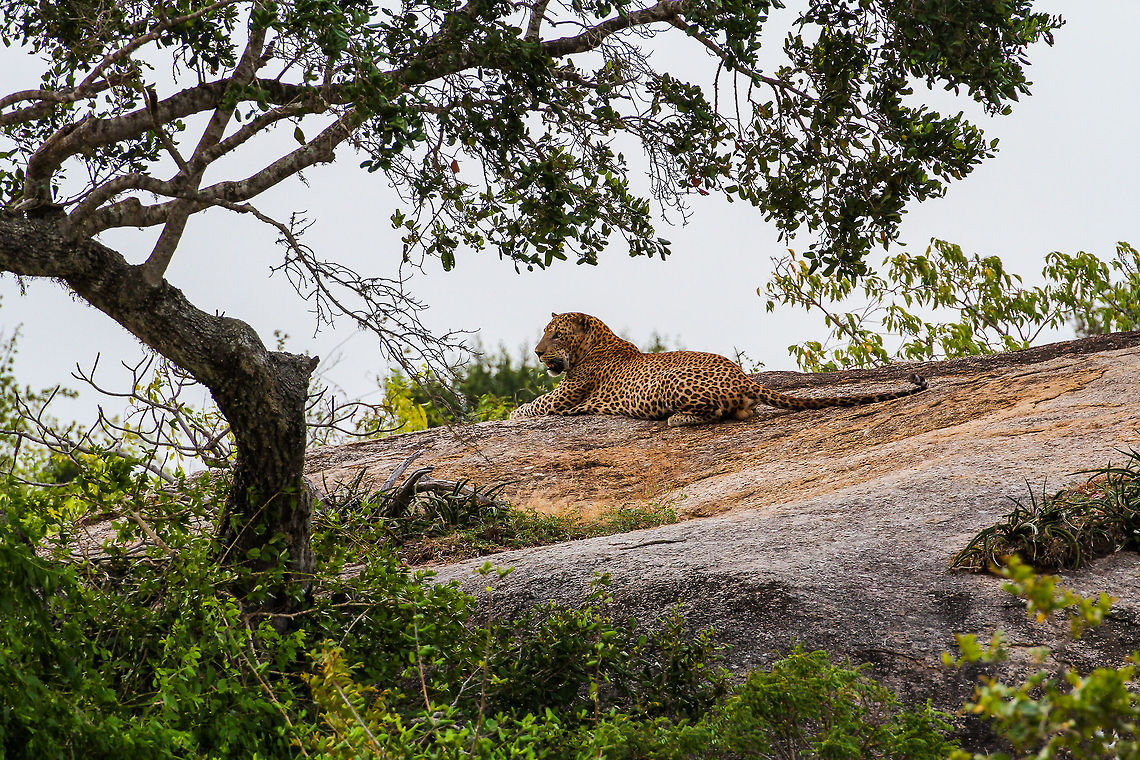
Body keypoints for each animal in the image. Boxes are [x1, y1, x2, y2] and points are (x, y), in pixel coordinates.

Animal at [508, 312, 928, 427]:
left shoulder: (563, 397)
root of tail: (740, 374)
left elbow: (531, 405)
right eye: (544, 333)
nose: (537, 352)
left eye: (556, 334)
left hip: (670, 383)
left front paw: (512, 414)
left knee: (713, 411)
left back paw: (678, 418)